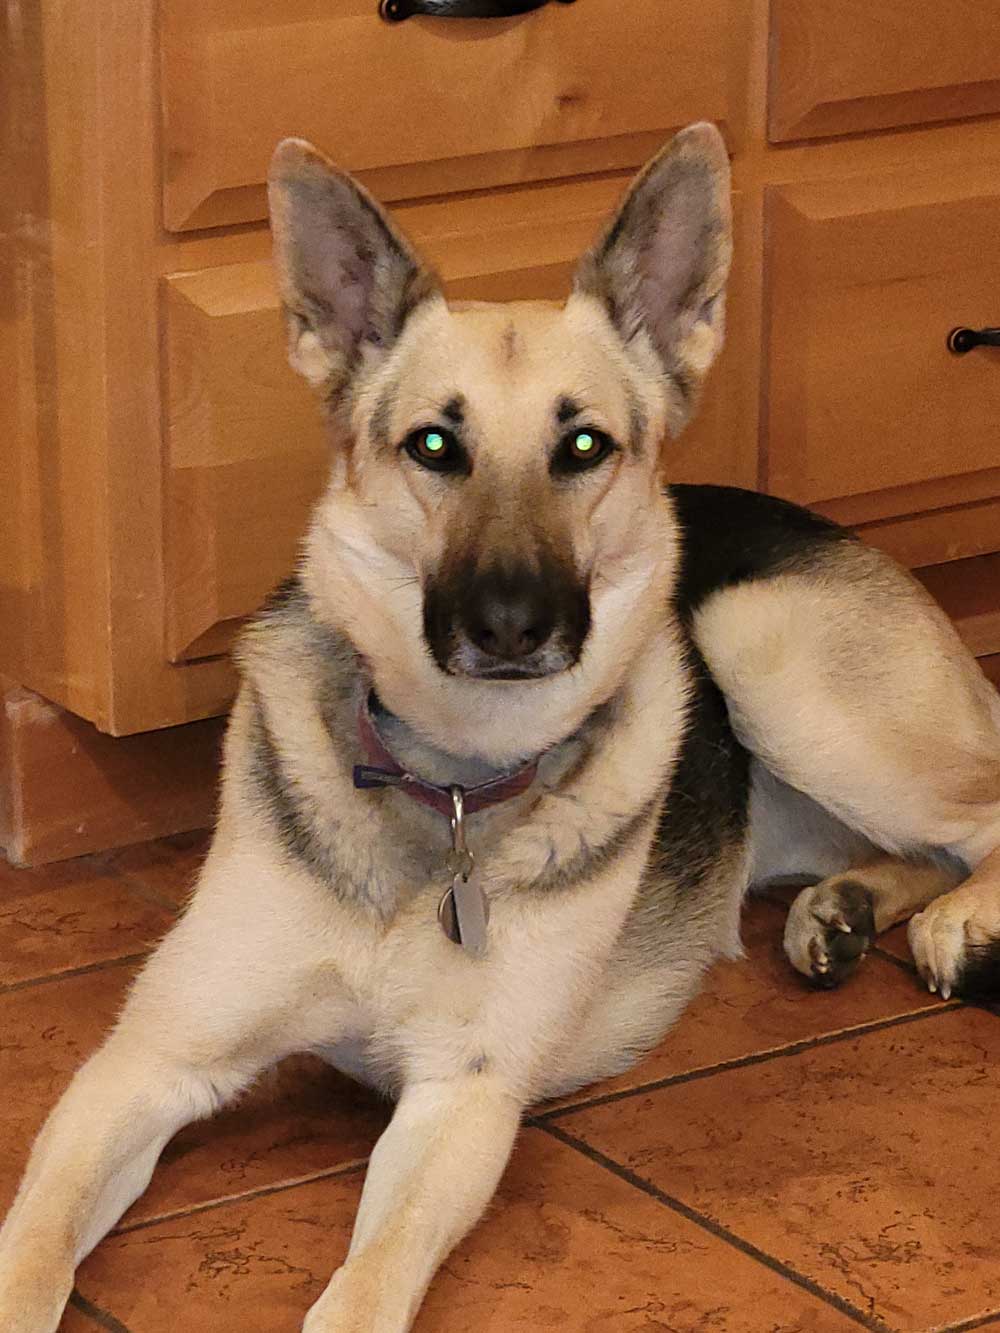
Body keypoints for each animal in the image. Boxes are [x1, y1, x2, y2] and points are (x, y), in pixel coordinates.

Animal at [3, 121, 1000, 1333]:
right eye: (435, 446)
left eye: (584, 447)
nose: (513, 624)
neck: (448, 778)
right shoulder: (148, 1060)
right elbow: (36, 1245)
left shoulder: (458, 1105)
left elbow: (366, 1287)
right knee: (913, 845)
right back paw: (844, 909)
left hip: (762, 647)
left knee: (983, 812)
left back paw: (958, 924)